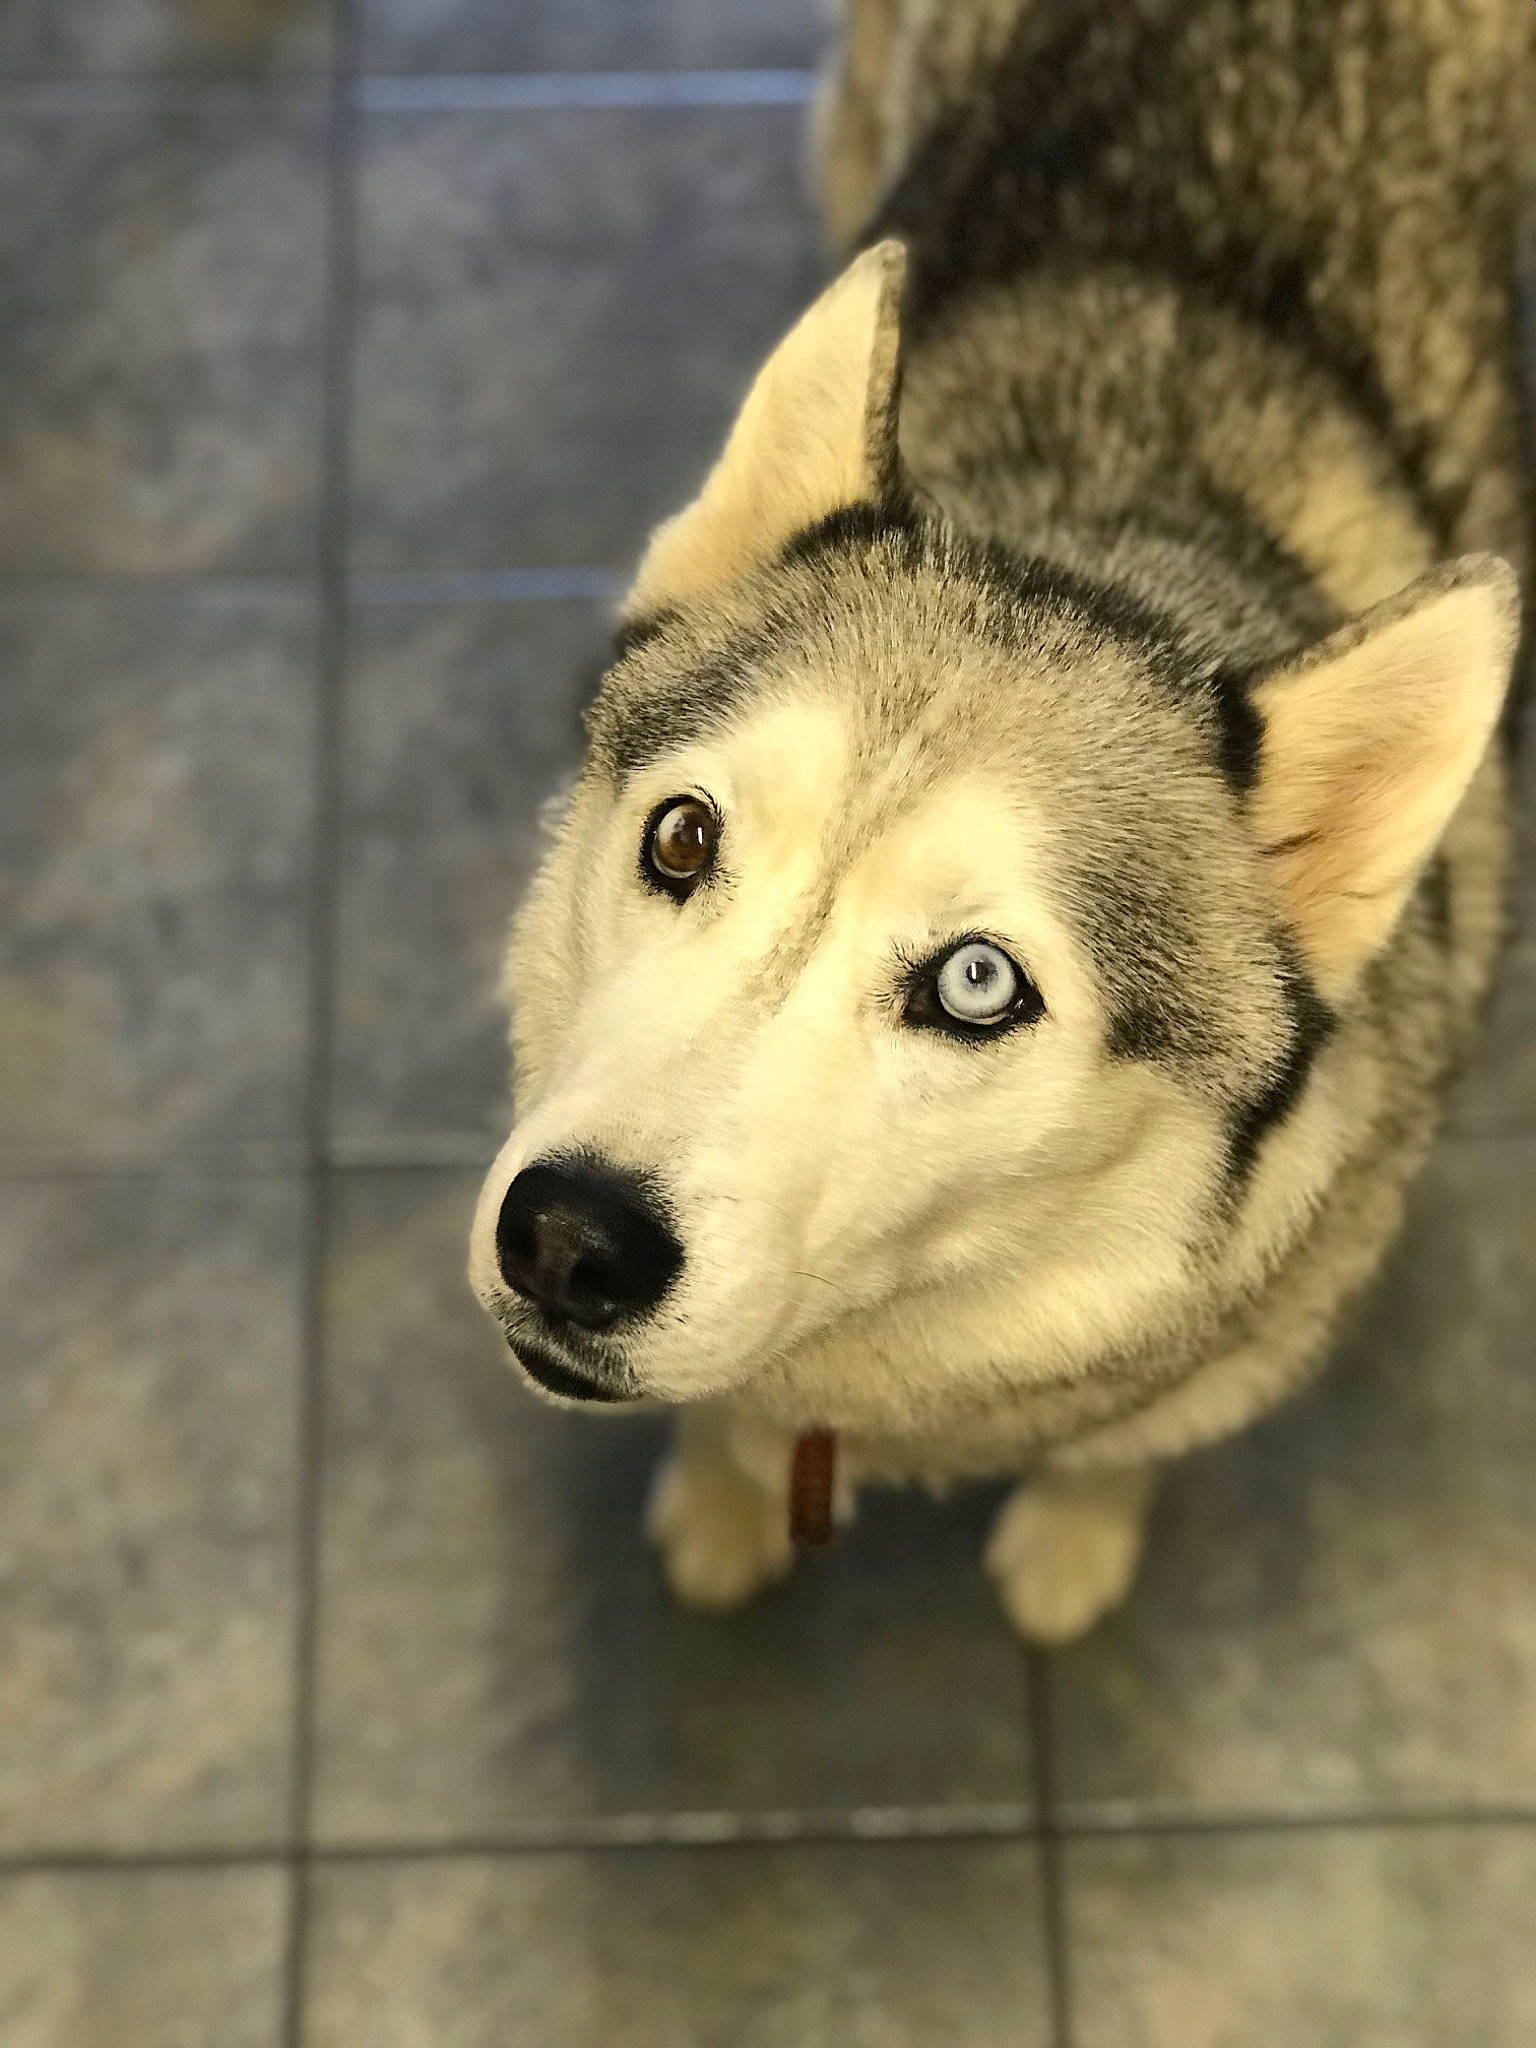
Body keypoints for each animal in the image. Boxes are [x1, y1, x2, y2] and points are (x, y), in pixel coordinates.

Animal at [469, 0, 1534, 1642]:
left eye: (978, 983)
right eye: (682, 838)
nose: (571, 1236)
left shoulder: (1238, 1337)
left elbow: (1122, 1445)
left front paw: (1073, 1539)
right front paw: (723, 1499)